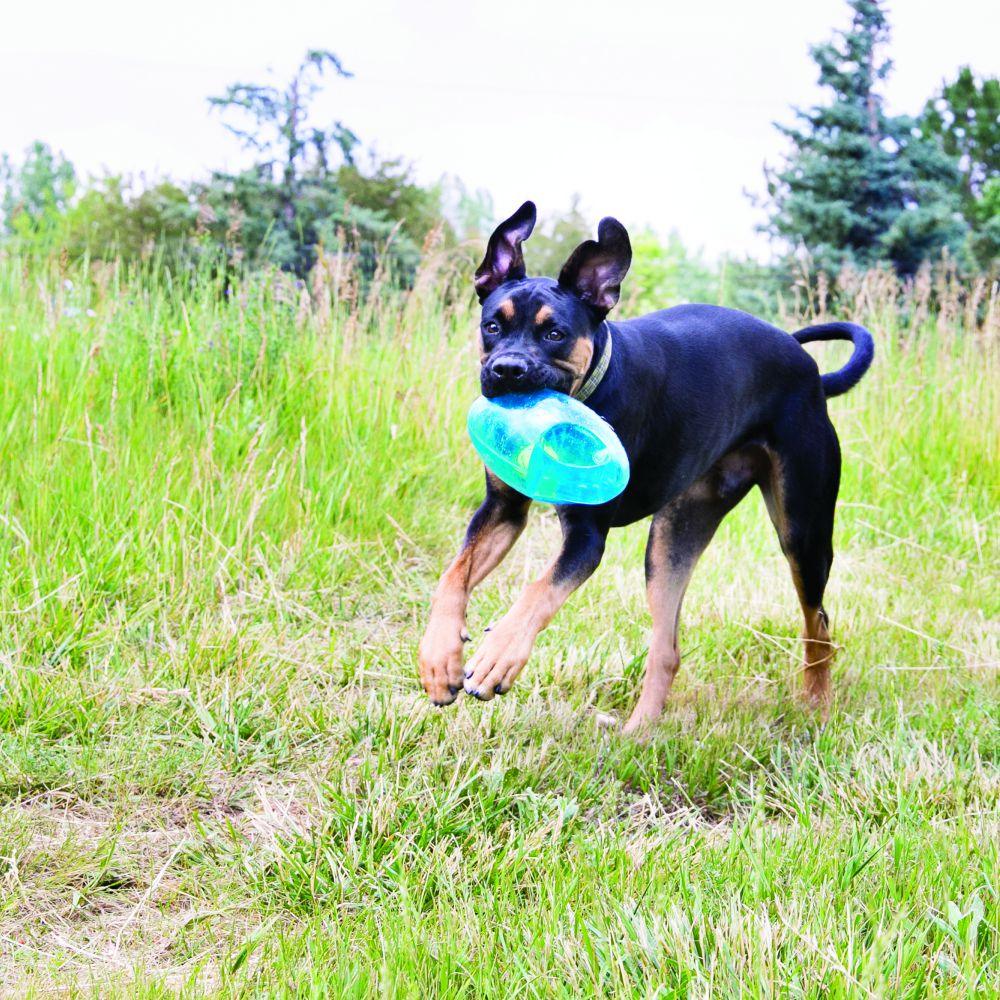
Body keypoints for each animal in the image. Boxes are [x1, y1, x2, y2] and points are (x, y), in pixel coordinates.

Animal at [418, 203, 872, 736]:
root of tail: (809, 371)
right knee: (668, 649)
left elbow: (538, 591)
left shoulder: (586, 537)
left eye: (555, 333)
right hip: (674, 537)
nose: (507, 370)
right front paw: (438, 658)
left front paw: (497, 656)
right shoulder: (502, 510)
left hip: (803, 530)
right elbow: (453, 575)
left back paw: (817, 707)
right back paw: (637, 733)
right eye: (493, 325)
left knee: (818, 623)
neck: (593, 385)